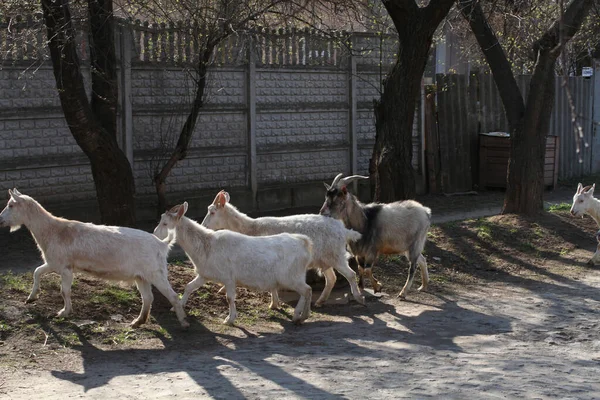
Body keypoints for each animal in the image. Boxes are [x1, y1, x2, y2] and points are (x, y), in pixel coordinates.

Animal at [0, 188, 188, 328]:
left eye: (11, 204)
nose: (0, 220)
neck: (53, 231)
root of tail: (162, 244)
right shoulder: (54, 262)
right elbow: (37, 272)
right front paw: (31, 298)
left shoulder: (66, 268)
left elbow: (64, 290)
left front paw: (63, 312)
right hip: (141, 276)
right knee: (148, 298)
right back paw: (137, 322)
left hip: (156, 273)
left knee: (173, 296)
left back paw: (184, 323)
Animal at [154, 203, 314, 324]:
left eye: (165, 223)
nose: (154, 234)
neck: (207, 245)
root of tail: (303, 242)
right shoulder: (204, 275)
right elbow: (188, 287)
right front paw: (177, 307)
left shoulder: (229, 278)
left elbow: (229, 298)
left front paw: (229, 319)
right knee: (306, 291)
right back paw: (300, 315)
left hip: (291, 277)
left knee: (307, 290)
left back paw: (301, 316)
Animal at [200, 191, 366, 306]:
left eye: (212, 212)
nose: (203, 225)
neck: (250, 228)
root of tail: (344, 230)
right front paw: (274, 303)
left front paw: (273, 304)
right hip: (325, 258)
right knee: (331, 279)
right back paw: (320, 301)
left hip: (336, 255)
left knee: (351, 275)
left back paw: (359, 298)